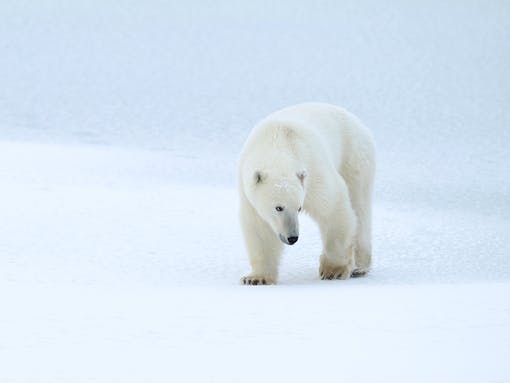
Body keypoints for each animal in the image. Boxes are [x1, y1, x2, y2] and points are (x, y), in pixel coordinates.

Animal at [239, 102, 374, 284]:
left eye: (299, 208)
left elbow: (333, 208)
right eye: (278, 207)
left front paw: (334, 270)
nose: (292, 238)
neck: (278, 141)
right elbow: (259, 228)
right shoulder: (248, 192)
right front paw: (256, 278)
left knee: (359, 207)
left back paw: (359, 267)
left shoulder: (313, 171)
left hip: (355, 158)